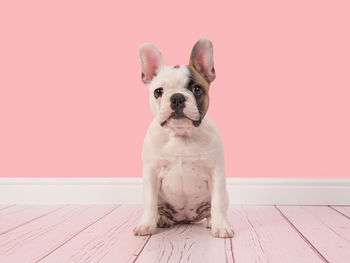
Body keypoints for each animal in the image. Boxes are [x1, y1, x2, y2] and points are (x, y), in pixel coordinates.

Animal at [134, 38, 235, 239]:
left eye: (197, 89)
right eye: (158, 91)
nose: (177, 98)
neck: (181, 135)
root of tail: (185, 219)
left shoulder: (216, 172)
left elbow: (218, 203)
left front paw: (221, 226)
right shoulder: (151, 172)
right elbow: (149, 203)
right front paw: (146, 225)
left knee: (213, 207)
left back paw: (211, 221)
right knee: (159, 209)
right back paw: (161, 219)